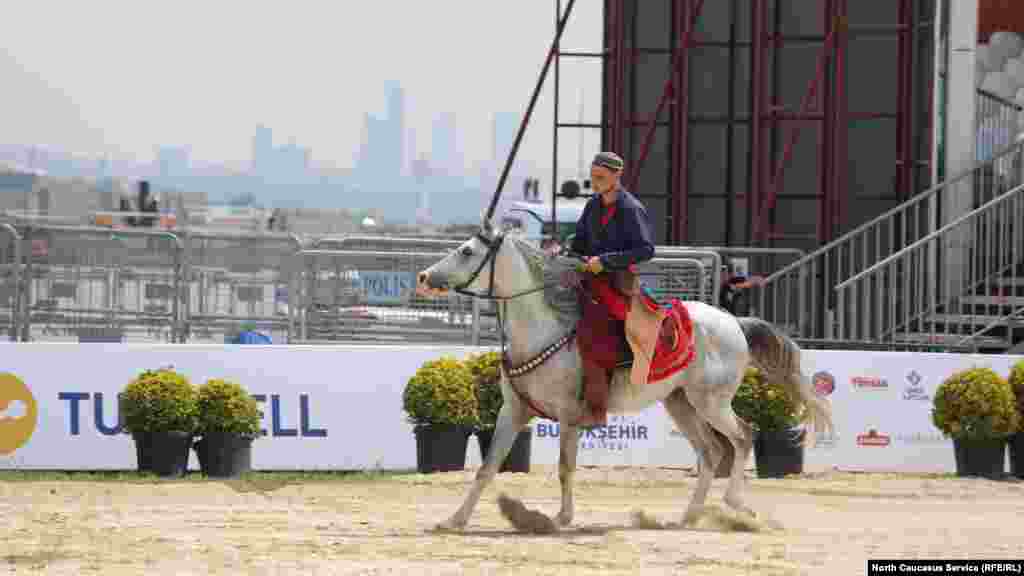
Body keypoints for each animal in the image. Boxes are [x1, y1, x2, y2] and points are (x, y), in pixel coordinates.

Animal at [415, 219, 831, 528]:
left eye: (467, 252)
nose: (423, 276)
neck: (544, 330)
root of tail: (734, 322)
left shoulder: (569, 415)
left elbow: (565, 468)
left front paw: (562, 518)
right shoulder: (512, 411)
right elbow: (487, 468)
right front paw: (455, 519)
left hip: (711, 402)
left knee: (742, 437)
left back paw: (735, 504)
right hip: (680, 403)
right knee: (711, 451)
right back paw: (690, 515)